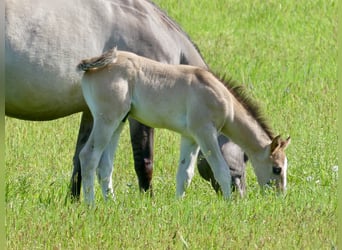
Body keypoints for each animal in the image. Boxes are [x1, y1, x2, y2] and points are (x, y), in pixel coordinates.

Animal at [5, 0, 246, 199]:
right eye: (245, 155)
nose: (241, 196)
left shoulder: (93, 113)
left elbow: (79, 161)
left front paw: (73, 202)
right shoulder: (137, 116)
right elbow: (143, 161)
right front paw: (148, 200)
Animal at [78, 47, 292, 204]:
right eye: (277, 169)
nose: (279, 197)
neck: (223, 100)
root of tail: (92, 65)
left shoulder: (191, 137)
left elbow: (185, 174)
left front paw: (178, 205)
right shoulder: (205, 132)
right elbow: (221, 170)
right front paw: (229, 204)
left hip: (118, 123)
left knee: (105, 165)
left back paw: (112, 203)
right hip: (106, 121)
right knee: (88, 156)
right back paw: (91, 205)